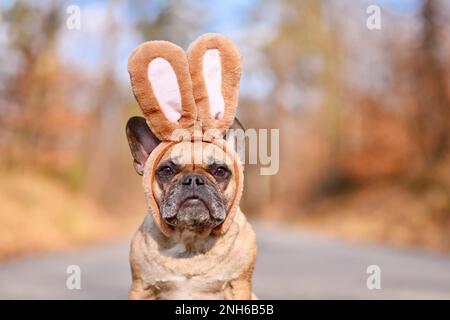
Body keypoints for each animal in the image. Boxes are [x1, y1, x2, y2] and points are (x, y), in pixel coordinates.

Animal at [125, 33, 256, 298]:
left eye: (220, 171)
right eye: (166, 170)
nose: (193, 179)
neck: (191, 240)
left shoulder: (239, 285)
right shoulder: (141, 286)